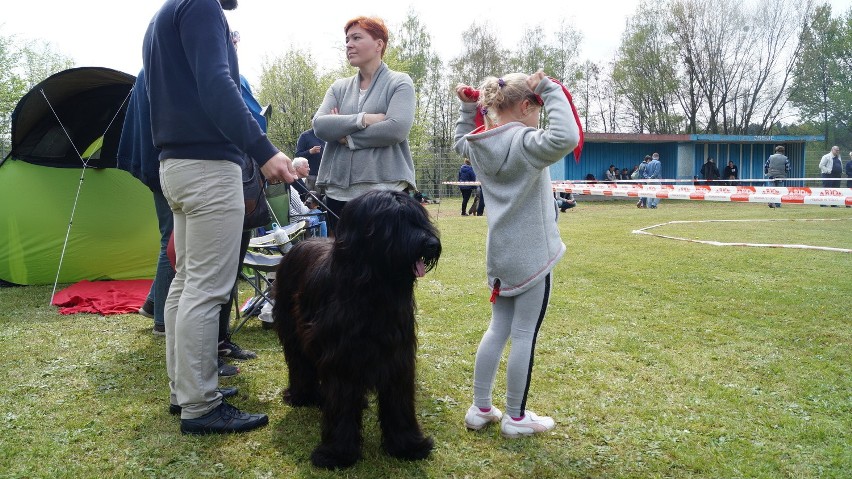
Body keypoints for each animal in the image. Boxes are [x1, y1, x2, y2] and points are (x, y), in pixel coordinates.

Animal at [272, 189, 442, 470]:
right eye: (395, 221)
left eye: (419, 218)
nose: (431, 244)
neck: (372, 290)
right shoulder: (341, 358)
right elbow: (340, 402)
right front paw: (337, 453)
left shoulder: (397, 355)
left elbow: (398, 400)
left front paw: (407, 445)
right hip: (292, 329)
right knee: (299, 363)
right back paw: (302, 396)